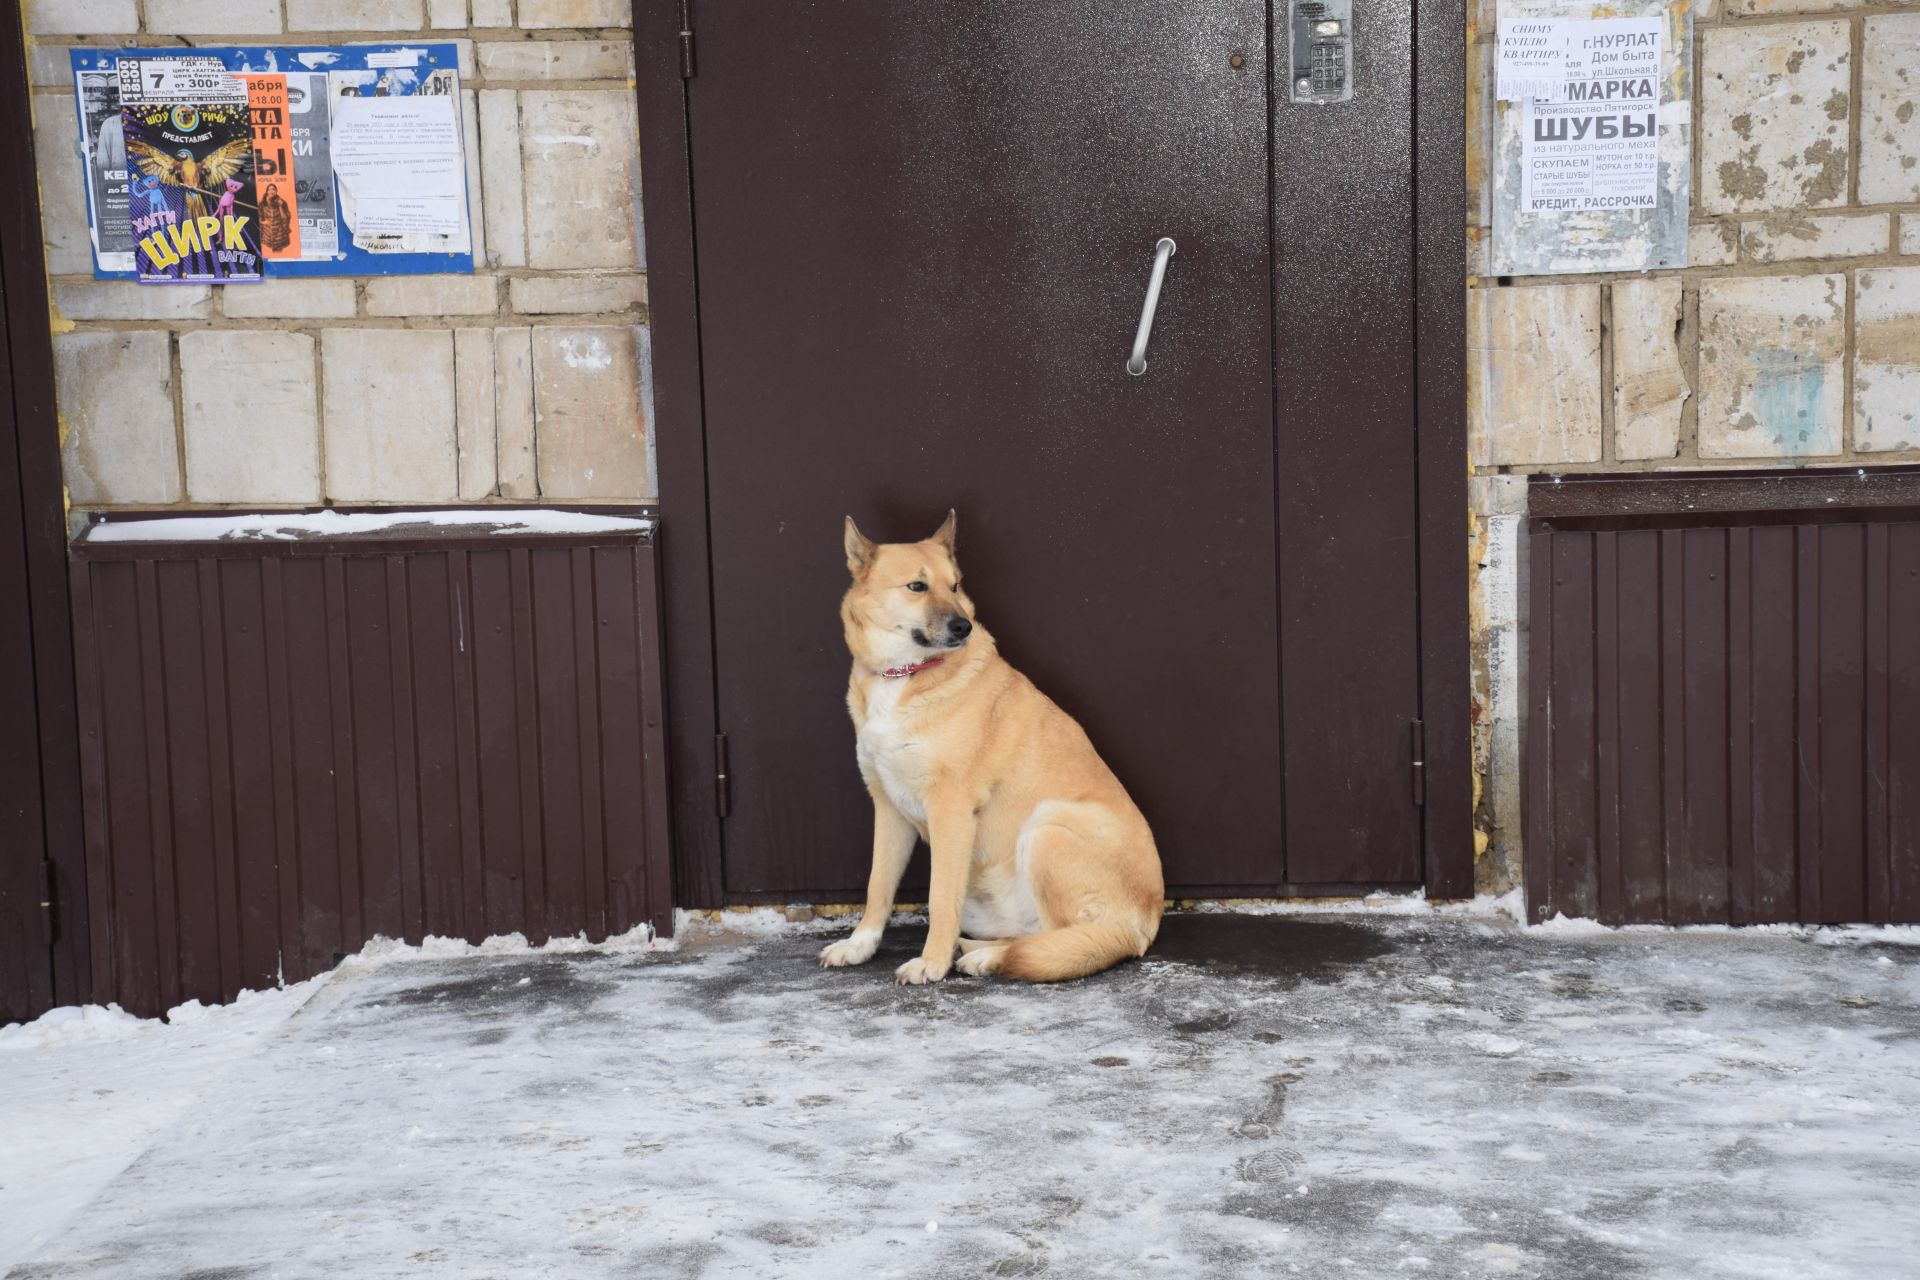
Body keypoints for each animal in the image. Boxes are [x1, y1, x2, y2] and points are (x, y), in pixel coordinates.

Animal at [817, 510, 1159, 982]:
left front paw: (931, 963)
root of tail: (1144, 926)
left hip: (1047, 828)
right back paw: (973, 948)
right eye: (917, 586)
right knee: (1036, 936)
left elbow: (939, 898)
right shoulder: (887, 809)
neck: (902, 674)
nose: (963, 626)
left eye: (955, 585)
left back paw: (986, 957)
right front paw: (860, 945)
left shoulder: (952, 810)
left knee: (1065, 939)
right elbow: (877, 887)